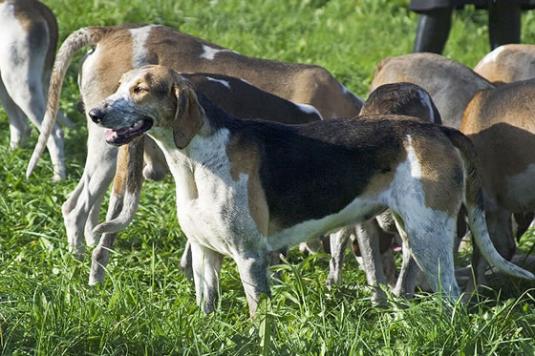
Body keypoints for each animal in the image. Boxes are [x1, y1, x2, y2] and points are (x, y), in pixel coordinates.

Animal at [0, 0, 69, 179]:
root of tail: (36, 6)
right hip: (7, 87)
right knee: (20, 126)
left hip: (21, 89)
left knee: (53, 133)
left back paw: (59, 177)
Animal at [89, 65, 535, 316]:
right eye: (119, 86)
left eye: (141, 90)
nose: (93, 112)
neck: (196, 160)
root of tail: (435, 129)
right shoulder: (204, 254)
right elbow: (206, 305)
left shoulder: (250, 257)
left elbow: (260, 316)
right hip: (413, 233)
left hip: (432, 238)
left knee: (453, 298)